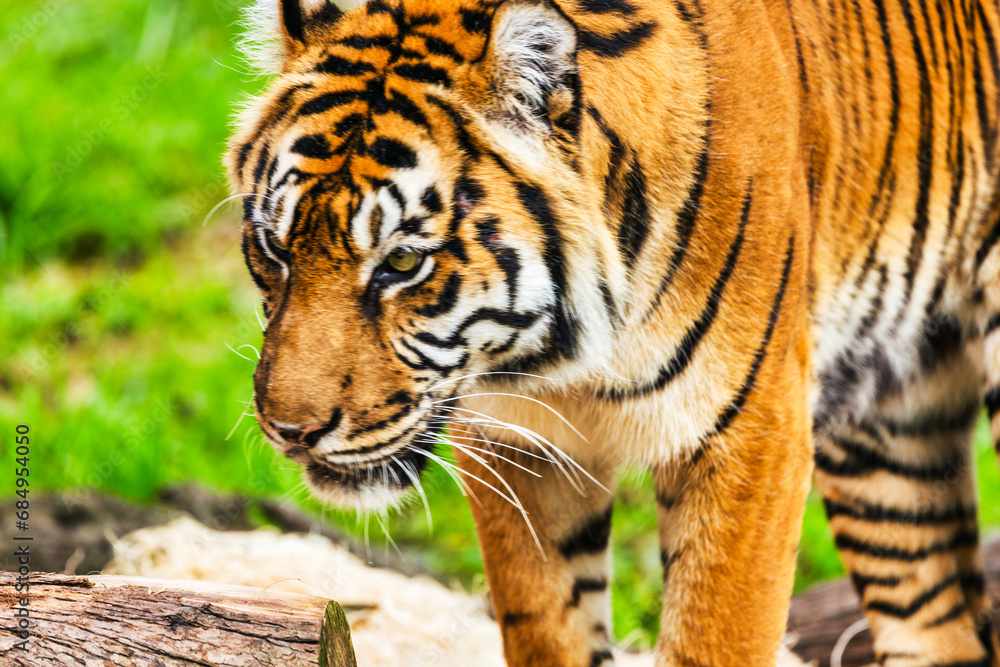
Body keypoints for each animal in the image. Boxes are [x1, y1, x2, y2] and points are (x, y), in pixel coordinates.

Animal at [224, 0, 1000, 663]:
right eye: (272, 246)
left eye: (404, 262)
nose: (290, 431)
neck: (565, 360)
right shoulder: (522, 447)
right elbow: (549, 628)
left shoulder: (752, 436)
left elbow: (716, 638)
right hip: (890, 429)